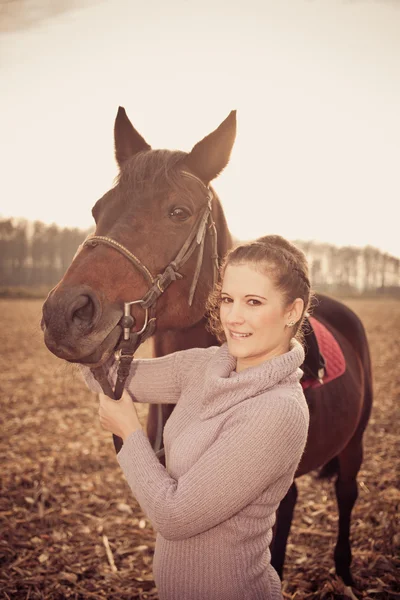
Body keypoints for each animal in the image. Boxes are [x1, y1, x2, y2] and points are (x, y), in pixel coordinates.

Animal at [40, 106, 372, 584]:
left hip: (354, 445)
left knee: (346, 494)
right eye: (98, 208)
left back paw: (344, 571)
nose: (64, 315)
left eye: (178, 211)